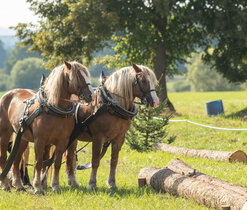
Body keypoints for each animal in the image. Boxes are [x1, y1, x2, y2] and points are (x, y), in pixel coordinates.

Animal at [0, 60, 94, 194]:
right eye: (78, 77)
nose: (90, 95)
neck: (53, 109)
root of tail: (7, 94)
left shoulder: (62, 141)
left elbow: (56, 163)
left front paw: (55, 186)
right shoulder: (40, 140)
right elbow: (39, 163)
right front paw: (38, 187)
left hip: (22, 138)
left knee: (16, 160)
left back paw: (18, 185)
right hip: (5, 134)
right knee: (3, 157)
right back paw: (5, 184)